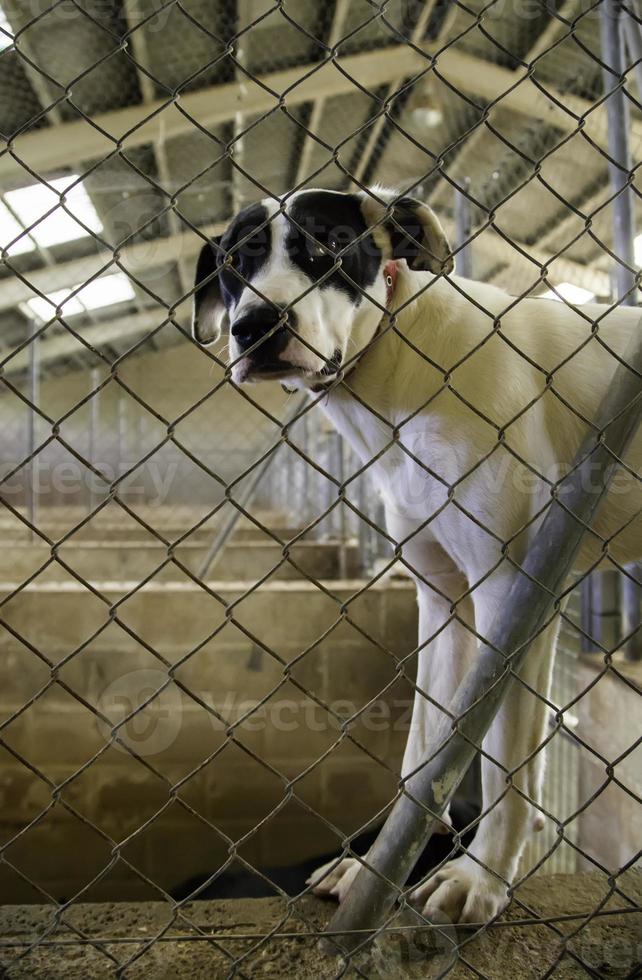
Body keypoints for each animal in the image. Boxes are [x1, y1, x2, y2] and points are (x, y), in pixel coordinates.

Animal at [191, 186, 640, 928]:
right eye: (233, 261)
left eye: (330, 243)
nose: (256, 325)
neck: (399, 367)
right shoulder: (443, 599)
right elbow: (425, 754)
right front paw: (378, 869)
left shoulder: (515, 592)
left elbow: (503, 764)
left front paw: (480, 876)